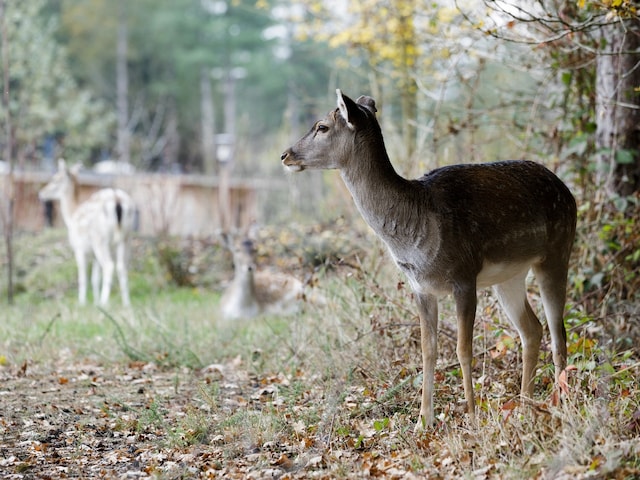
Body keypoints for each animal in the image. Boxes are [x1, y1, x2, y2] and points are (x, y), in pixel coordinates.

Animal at [38, 159, 136, 306]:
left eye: (55, 179)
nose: (41, 193)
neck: (72, 215)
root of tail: (117, 199)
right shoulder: (93, 254)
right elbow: (95, 278)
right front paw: (94, 302)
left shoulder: (79, 248)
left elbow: (83, 277)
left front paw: (82, 303)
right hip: (126, 238)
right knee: (121, 267)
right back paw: (126, 303)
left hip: (100, 240)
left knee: (109, 265)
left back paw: (104, 302)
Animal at [280, 91, 576, 432]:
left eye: (322, 127)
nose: (285, 155)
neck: (413, 235)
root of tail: (569, 192)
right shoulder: (420, 287)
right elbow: (428, 351)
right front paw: (423, 421)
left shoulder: (464, 275)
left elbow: (463, 349)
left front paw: (472, 417)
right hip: (509, 277)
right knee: (532, 329)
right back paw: (526, 407)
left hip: (557, 251)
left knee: (558, 334)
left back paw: (561, 406)